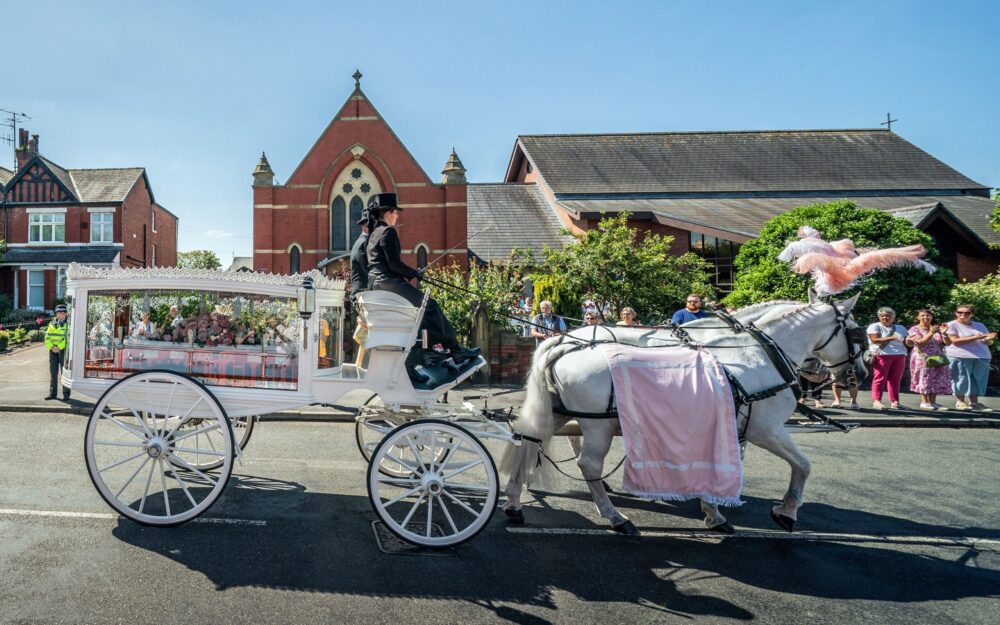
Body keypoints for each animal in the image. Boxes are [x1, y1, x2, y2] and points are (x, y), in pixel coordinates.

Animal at [500, 294, 868, 532]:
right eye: (856, 332)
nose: (859, 375)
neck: (756, 352)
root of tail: (565, 342)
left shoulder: (729, 423)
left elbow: (723, 459)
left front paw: (713, 505)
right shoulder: (765, 428)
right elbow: (803, 465)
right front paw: (786, 512)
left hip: (559, 411)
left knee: (529, 439)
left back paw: (515, 503)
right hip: (599, 424)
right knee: (587, 462)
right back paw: (614, 516)